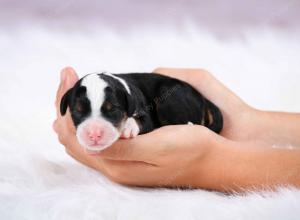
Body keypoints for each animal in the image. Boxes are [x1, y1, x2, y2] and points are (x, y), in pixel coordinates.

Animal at [59, 72, 223, 153]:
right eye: (78, 111)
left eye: (113, 110)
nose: (94, 134)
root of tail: (203, 98)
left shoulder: (147, 114)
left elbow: (140, 120)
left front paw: (128, 126)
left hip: (169, 98)